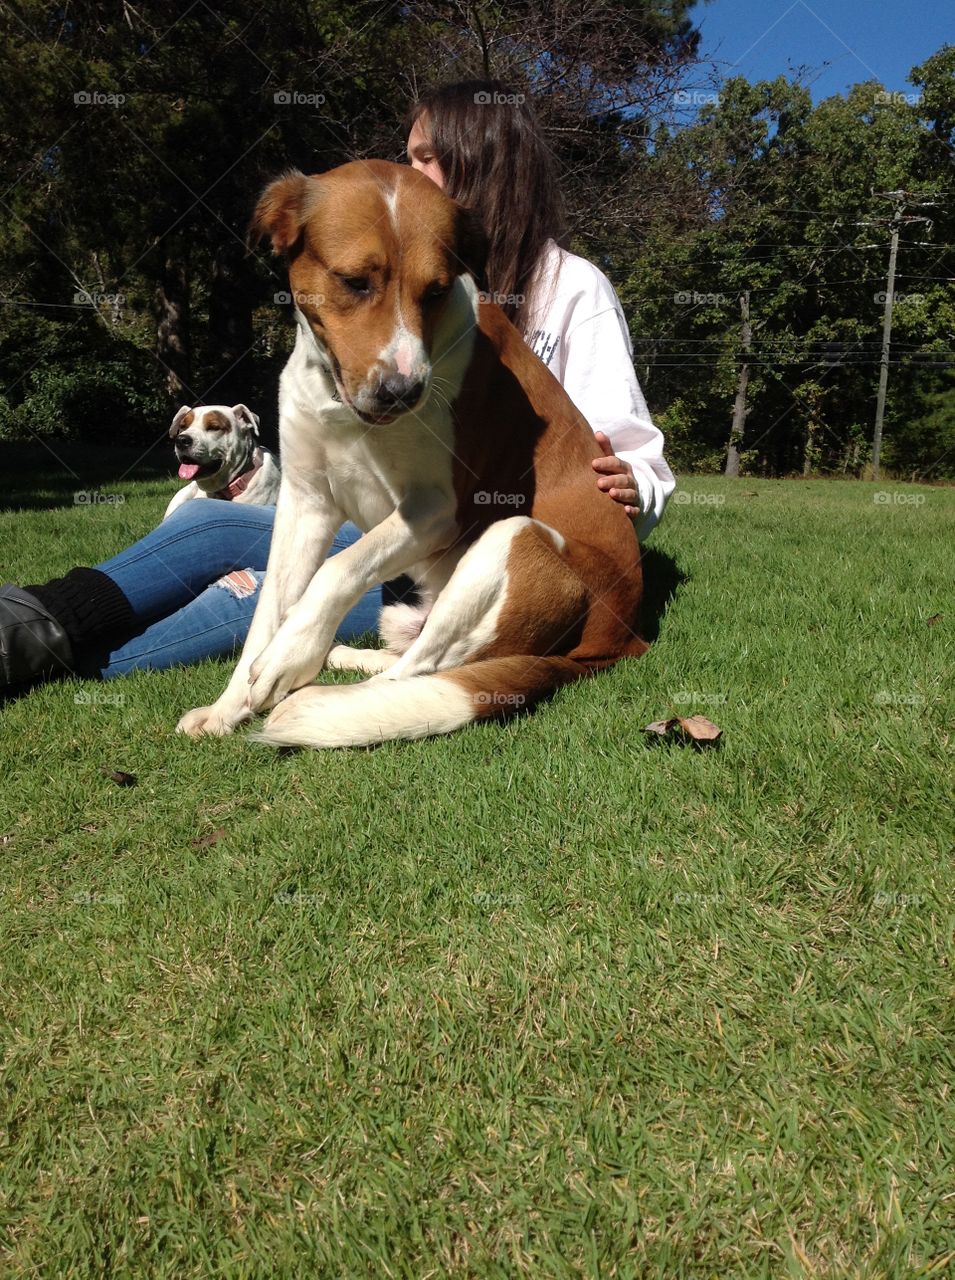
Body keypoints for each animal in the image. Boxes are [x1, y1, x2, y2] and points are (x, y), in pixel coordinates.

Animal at [175, 162, 642, 747]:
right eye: (354, 281)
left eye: (436, 291)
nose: (404, 392)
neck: (340, 403)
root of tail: (622, 641)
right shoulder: (305, 503)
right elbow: (270, 612)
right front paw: (227, 707)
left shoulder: (434, 510)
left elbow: (339, 568)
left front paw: (289, 656)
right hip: (406, 611)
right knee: (415, 658)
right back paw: (346, 658)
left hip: (514, 537)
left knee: (424, 669)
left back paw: (326, 698)